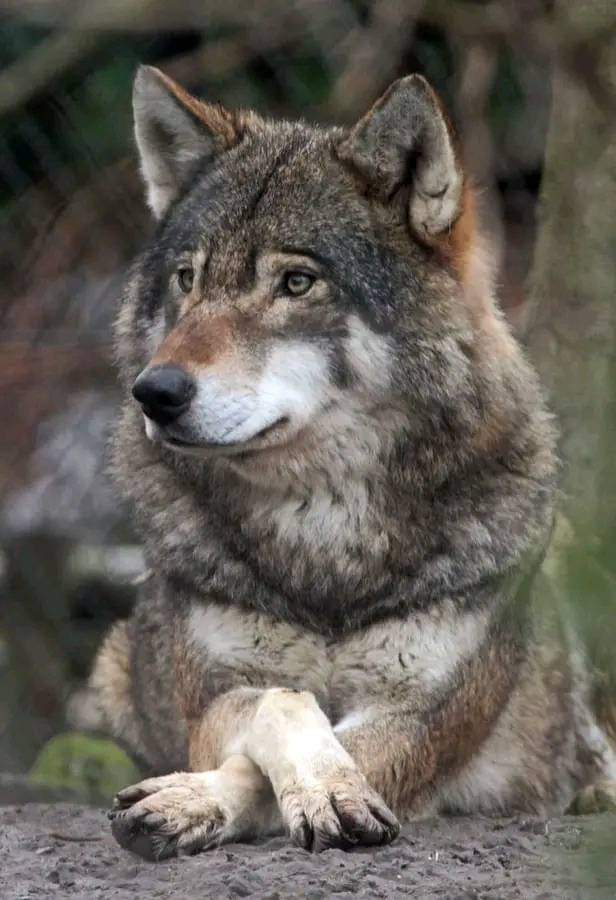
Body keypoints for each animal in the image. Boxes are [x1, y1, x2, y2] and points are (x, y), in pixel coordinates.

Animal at [90, 65, 616, 860]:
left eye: (296, 283)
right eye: (188, 278)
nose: (155, 393)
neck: (325, 543)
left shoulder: (419, 715)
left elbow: (303, 760)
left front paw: (309, 794)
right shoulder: (214, 697)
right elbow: (282, 706)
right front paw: (198, 798)